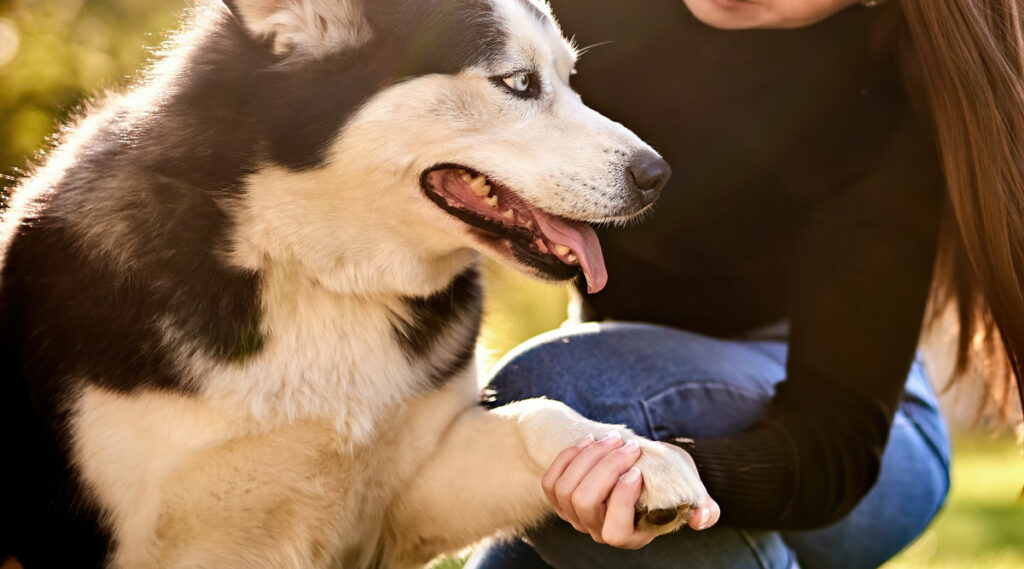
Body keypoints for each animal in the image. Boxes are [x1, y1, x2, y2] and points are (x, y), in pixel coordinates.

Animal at [0, 0, 708, 564]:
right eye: (518, 82)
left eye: (568, 80)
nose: (658, 175)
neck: (321, 276)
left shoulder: (411, 498)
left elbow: (538, 415)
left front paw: (632, 460)